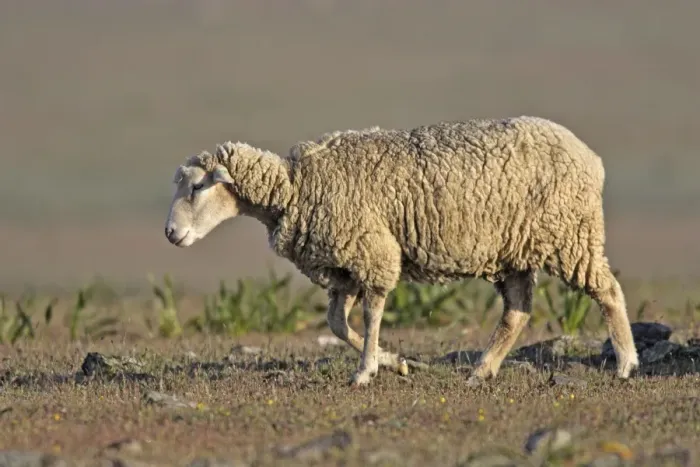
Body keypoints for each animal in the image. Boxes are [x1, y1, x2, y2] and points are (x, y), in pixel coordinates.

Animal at [164, 115, 639, 387]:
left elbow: (371, 315)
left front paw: (365, 372)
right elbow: (337, 325)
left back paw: (626, 363)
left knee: (608, 291)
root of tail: (590, 157)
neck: (295, 187)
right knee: (517, 312)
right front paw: (395, 363)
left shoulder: (372, 253)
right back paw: (481, 371)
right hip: (515, 251)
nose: (170, 233)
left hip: (570, 234)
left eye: (198, 186)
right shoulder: (343, 269)